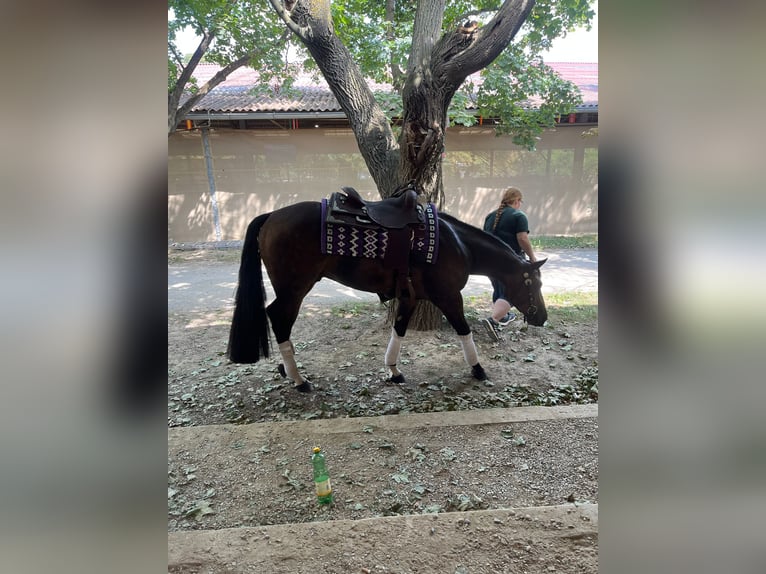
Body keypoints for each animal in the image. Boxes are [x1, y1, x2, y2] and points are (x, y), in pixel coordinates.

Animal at [225, 201, 548, 392]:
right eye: (534, 284)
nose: (542, 318)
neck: (457, 244)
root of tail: (271, 216)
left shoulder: (409, 297)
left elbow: (399, 331)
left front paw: (393, 371)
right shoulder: (448, 296)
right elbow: (463, 330)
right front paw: (478, 369)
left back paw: (287, 369)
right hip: (295, 289)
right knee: (279, 318)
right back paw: (298, 379)